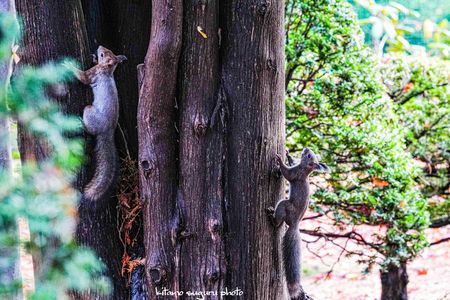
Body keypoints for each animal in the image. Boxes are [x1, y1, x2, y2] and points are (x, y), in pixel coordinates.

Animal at [67, 45, 126, 204]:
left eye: (103, 54)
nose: (99, 47)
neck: (107, 70)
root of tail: (108, 132)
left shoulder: (93, 73)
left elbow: (82, 76)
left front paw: (67, 66)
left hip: (90, 113)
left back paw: (81, 123)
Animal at [268, 148, 330, 300]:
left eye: (308, 156)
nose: (306, 149)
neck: (305, 170)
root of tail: (295, 225)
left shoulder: (296, 173)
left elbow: (287, 173)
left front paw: (280, 160)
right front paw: (289, 155)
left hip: (285, 206)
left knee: (278, 220)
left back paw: (272, 218)